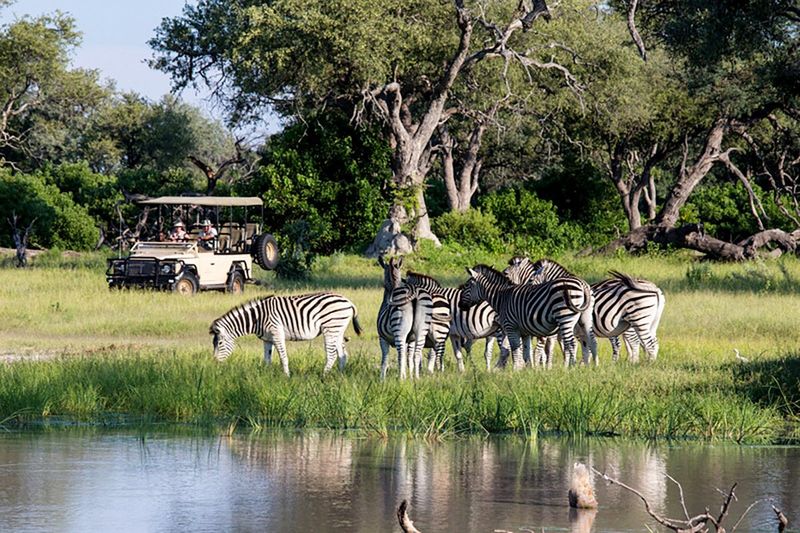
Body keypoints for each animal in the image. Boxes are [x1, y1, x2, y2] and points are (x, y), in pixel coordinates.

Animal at [211, 294, 364, 376]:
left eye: (220, 343)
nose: (215, 363)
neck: (257, 318)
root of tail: (349, 302)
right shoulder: (267, 339)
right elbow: (267, 359)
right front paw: (266, 376)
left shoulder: (277, 333)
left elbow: (283, 357)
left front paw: (286, 377)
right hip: (338, 330)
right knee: (343, 354)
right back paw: (340, 376)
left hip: (330, 329)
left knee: (332, 355)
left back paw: (323, 377)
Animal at [456, 262, 592, 370]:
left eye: (467, 286)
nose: (459, 305)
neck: (502, 297)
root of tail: (582, 284)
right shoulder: (525, 332)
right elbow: (526, 352)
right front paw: (528, 371)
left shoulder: (511, 328)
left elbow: (515, 350)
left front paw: (516, 370)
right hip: (584, 319)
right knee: (588, 341)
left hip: (565, 318)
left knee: (572, 343)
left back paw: (572, 368)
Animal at [510, 256, 664, 362]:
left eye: (531, 280)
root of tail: (654, 288)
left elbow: (553, 349)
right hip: (649, 323)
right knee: (650, 343)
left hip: (635, 322)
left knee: (639, 344)